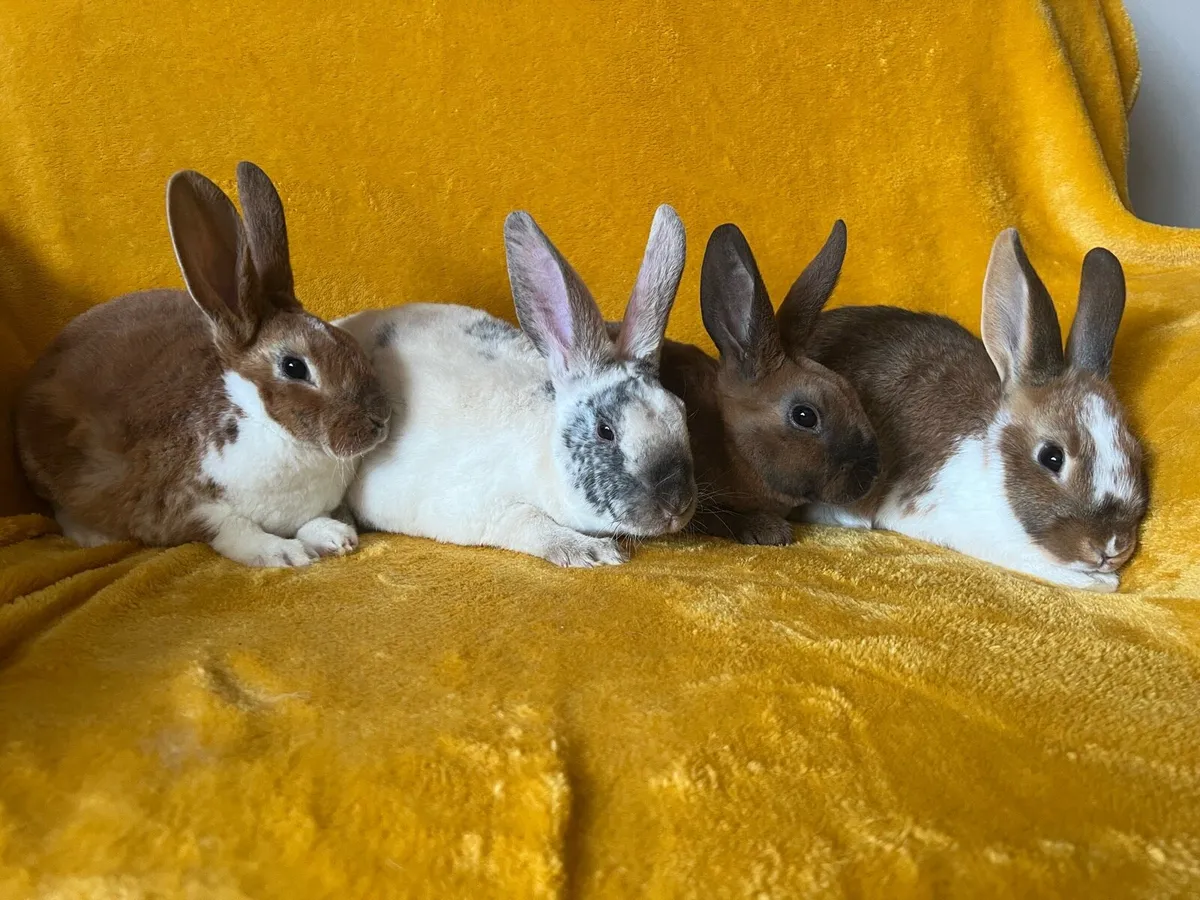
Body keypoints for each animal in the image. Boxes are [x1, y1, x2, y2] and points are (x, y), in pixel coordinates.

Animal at [16, 162, 392, 568]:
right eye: (294, 367)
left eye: (349, 342)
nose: (380, 419)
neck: (270, 427)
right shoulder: (190, 506)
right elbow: (237, 532)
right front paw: (286, 553)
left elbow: (314, 520)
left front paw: (335, 536)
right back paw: (93, 535)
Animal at [338, 205, 696, 567]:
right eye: (605, 431)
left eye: (680, 410)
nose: (675, 505)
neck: (545, 451)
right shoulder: (487, 509)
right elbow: (532, 524)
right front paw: (594, 551)